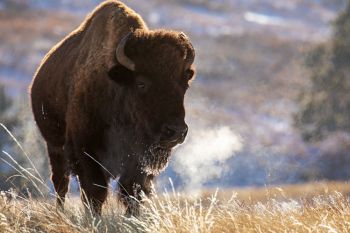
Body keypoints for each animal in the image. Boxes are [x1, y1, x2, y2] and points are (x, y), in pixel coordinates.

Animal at [29, 0, 194, 215]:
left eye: (185, 84)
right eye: (141, 83)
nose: (176, 131)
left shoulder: (138, 162)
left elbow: (132, 193)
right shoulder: (87, 152)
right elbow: (95, 193)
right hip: (54, 145)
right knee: (60, 183)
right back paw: (60, 212)